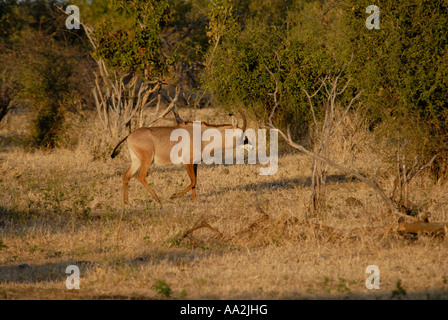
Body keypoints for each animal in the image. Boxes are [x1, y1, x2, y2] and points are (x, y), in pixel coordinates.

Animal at [110, 114, 250, 204]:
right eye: (242, 134)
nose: (249, 144)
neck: (202, 136)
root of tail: (130, 135)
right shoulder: (187, 162)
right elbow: (193, 181)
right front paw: (174, 196)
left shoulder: (195, 163)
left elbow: (195, 181)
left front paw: (195, 200)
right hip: (146, 160)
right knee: (141, 176)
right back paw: (157, 199)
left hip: (136, 160)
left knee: (127, 175)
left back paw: (127, 202)